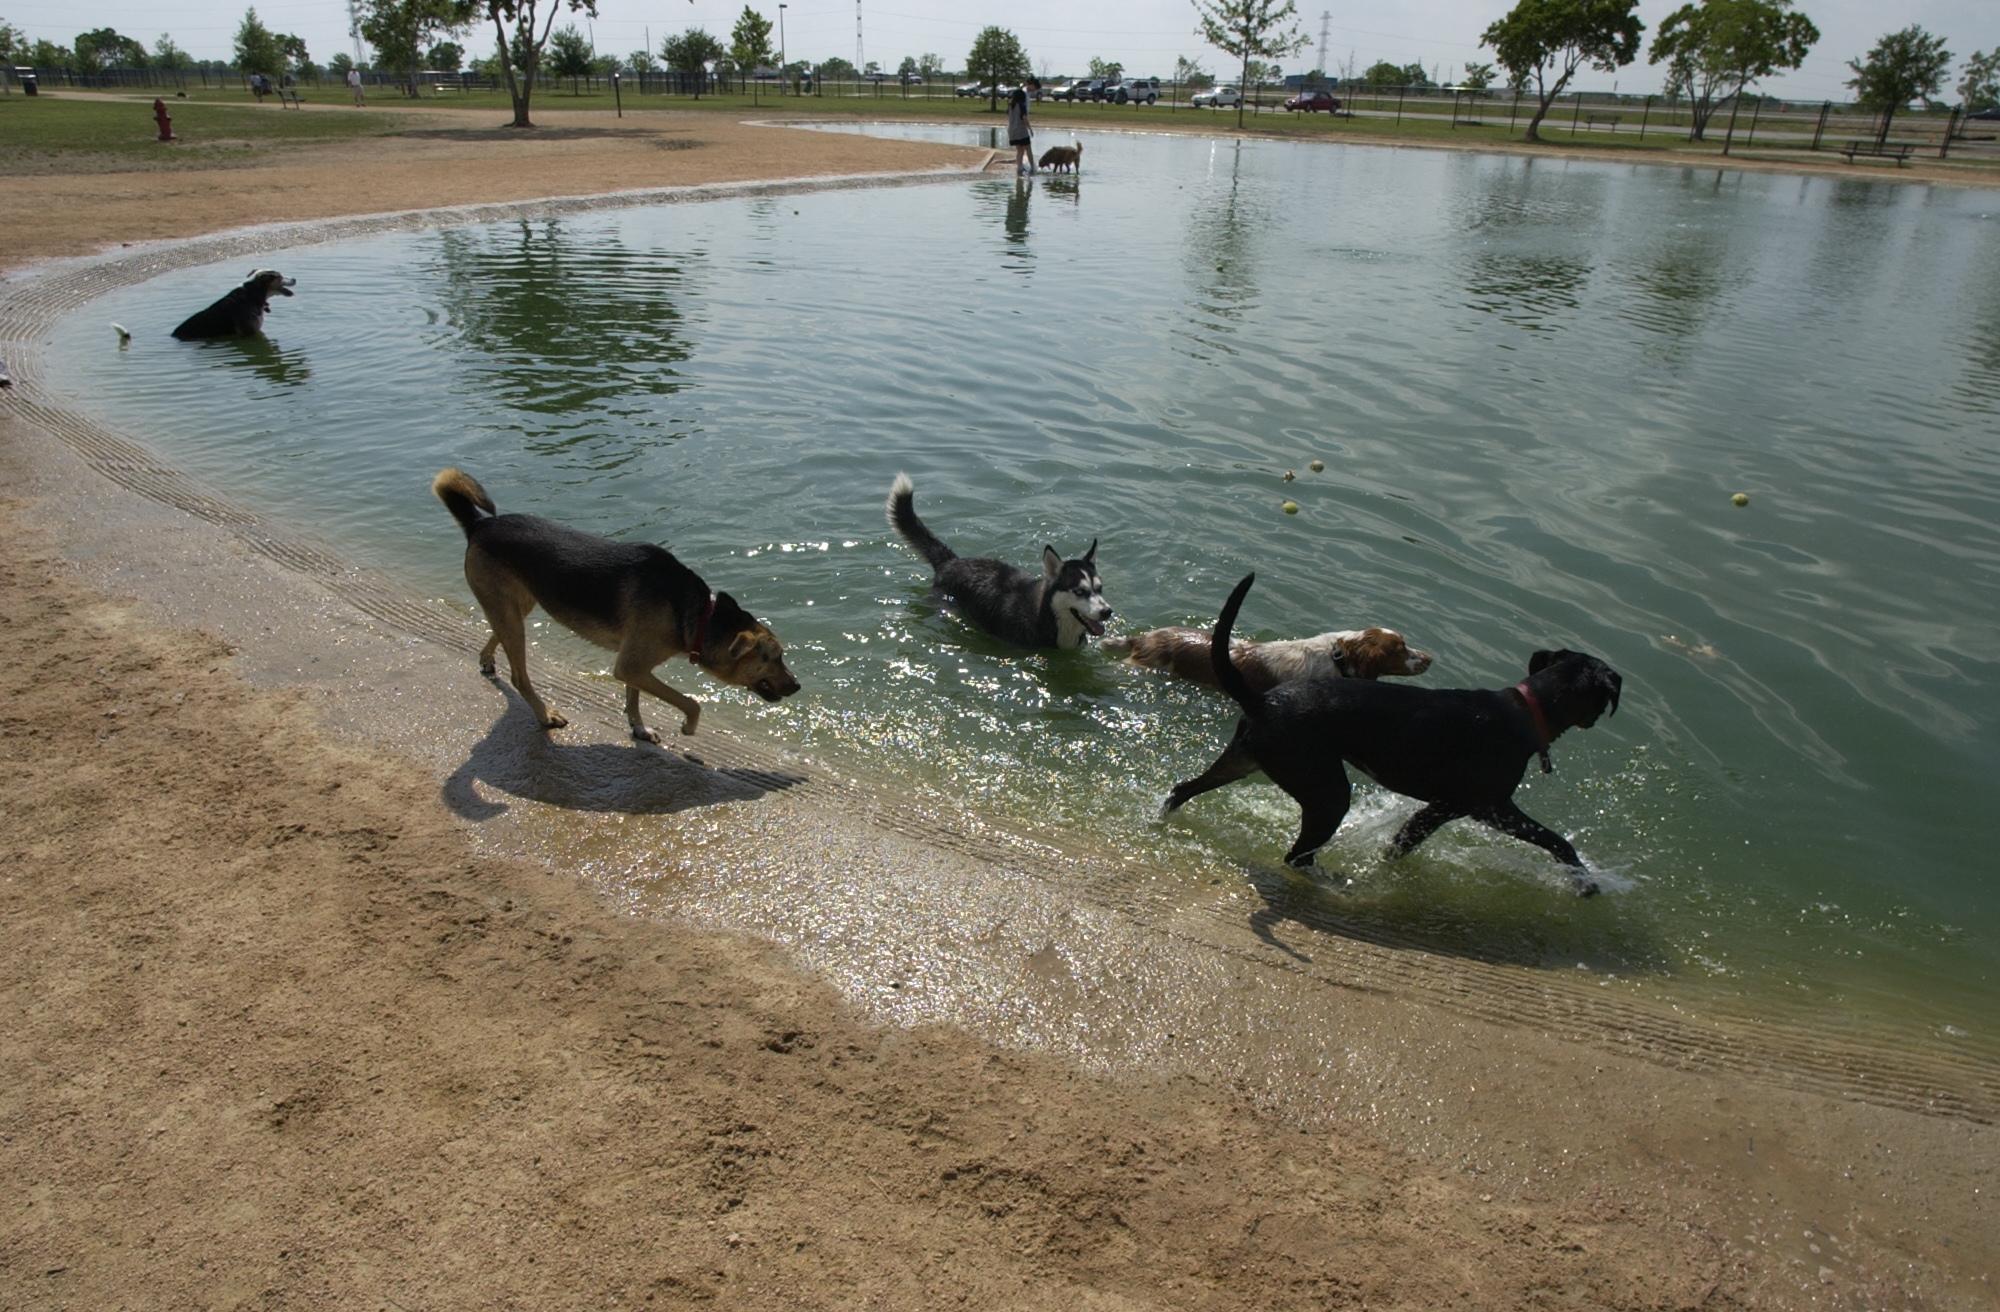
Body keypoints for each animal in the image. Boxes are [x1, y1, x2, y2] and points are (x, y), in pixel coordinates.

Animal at [434, 468, 800, 736]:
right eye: (774, 658)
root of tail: (479, 524)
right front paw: (687, 726)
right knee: (520, 677)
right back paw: (544, 714)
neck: (700, 614)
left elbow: (633, 697)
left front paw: (639, 728)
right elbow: (690, 702)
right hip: (510, 611)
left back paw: (487, 659)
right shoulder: (631, 665)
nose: (798, 686)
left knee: (497, 632)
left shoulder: (635, 664)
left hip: (517, 606)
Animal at [1168, 576, 1616, 892]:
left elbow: (1398, 842)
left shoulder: (1437, 809)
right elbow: (1556, 841)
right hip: (1328, 794)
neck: (1526, 709)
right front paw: (1585, 883)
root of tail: (1261, 700)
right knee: (1296, 856)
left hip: (1244, 761)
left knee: (1182, 790)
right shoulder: (1488, 807)